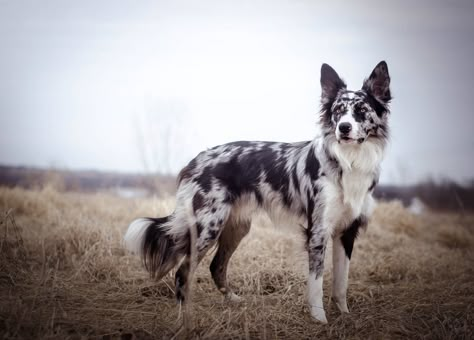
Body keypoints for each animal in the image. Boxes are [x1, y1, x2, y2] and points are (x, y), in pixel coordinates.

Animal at [124, 61, 390, 324]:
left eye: (361, 110)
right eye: (338, 111)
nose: (344, 128)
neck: (349, 161)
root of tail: (196, 160)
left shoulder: (347, 231)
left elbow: (341, 283)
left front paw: (344, 315)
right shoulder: (318, 231)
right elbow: (317, 283)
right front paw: (319, 320)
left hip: (236, 227)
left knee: (216, 266)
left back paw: (233, 301)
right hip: (208, 228)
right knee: (183, 271)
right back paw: (184, 316)